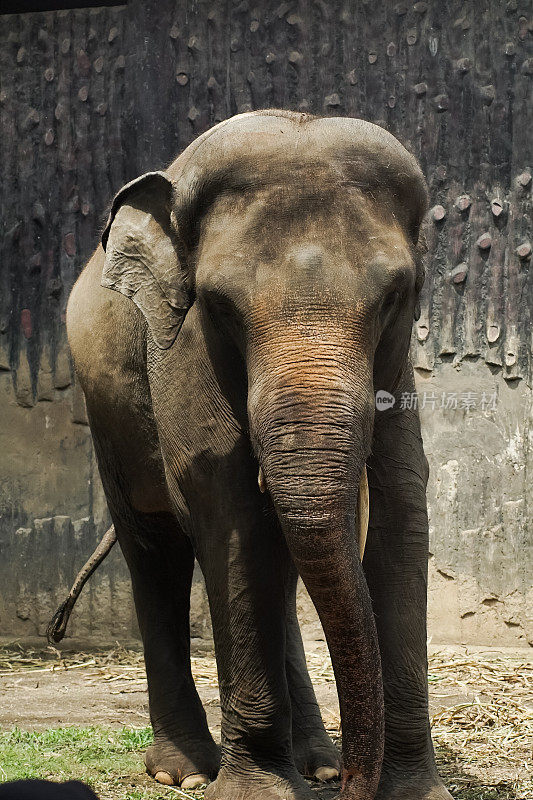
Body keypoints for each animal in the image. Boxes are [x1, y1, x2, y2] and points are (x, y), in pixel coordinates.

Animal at [58, 108, 448, 800]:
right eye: (218, 305)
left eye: (394, 298)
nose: (355, 787)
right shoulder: (182, 350)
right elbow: (228, 511)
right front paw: (254, 792)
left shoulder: (397, 362)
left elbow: (401, 506)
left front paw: (414, 793)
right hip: (106, 412)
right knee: (155, 550)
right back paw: (186, 771)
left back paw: (317, 762)